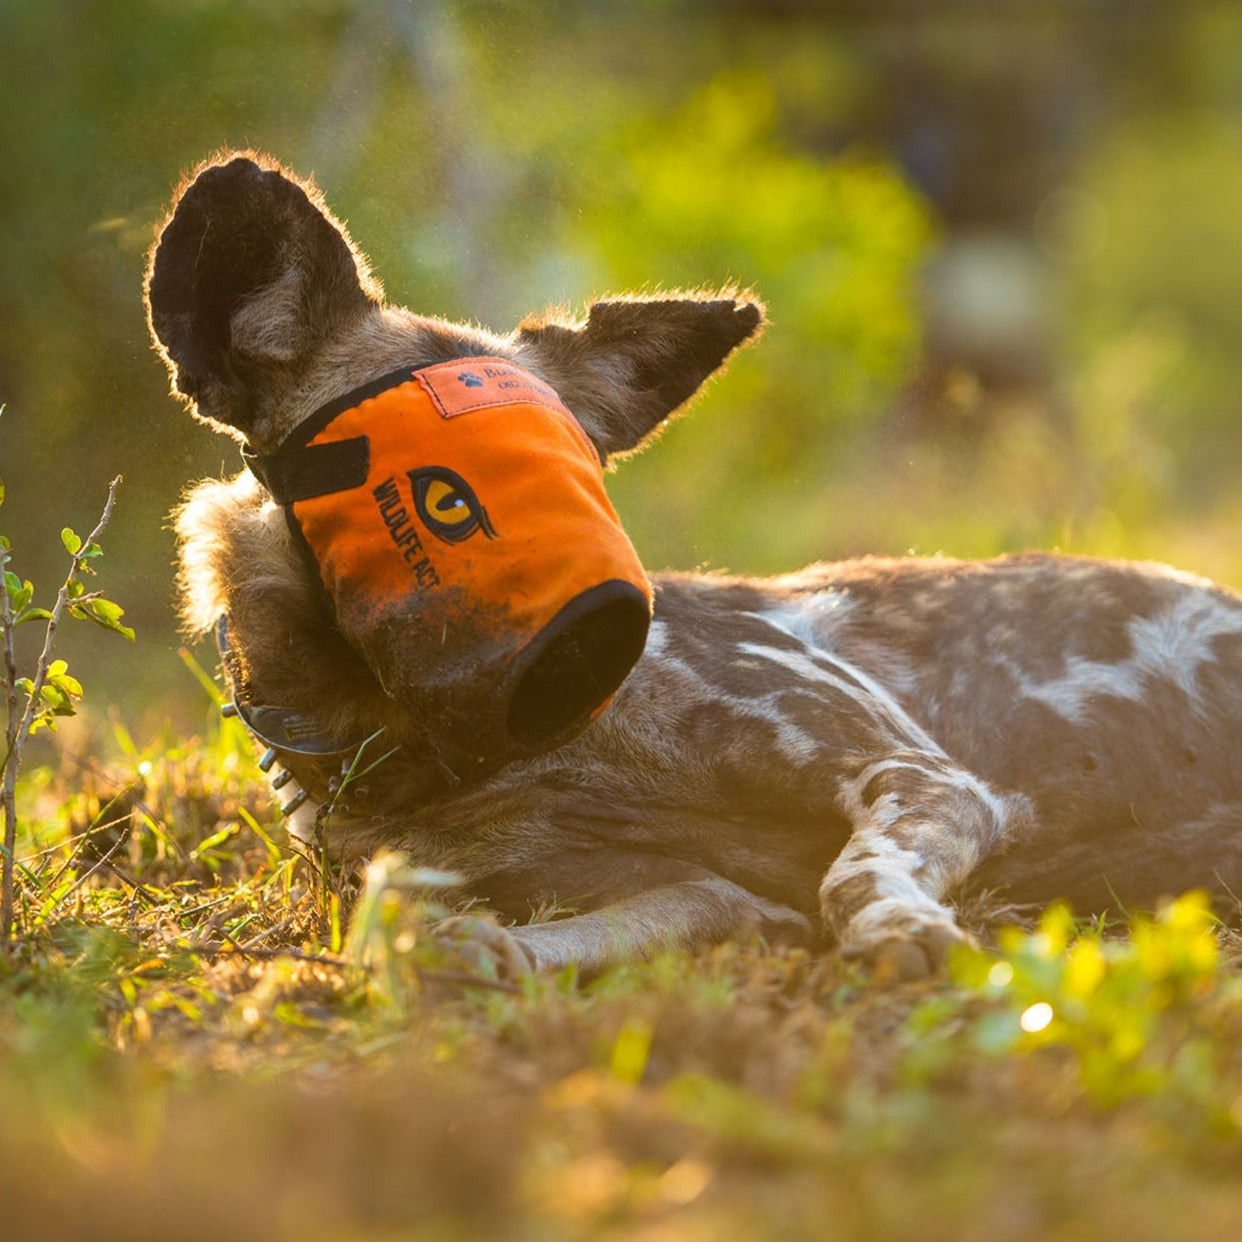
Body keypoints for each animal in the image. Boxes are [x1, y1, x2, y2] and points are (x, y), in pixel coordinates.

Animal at [142, 152, 1242, 978]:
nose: (589, 641)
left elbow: (854, 878)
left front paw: (906, 930)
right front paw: (476, 955)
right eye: (444, 495)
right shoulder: (716, 892)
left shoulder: (925, 777)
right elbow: (418, 919)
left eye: (581, 470)